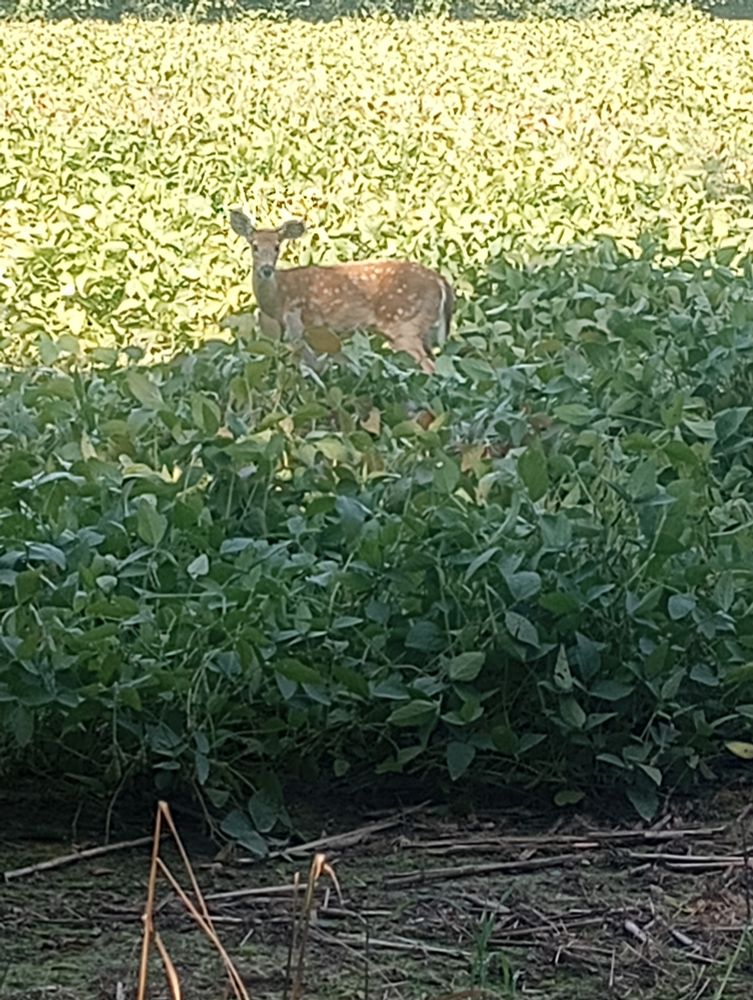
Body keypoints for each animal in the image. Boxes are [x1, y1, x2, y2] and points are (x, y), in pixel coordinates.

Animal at [229, 210, 454, 373]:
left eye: (277, 246)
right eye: (254, 246)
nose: (266, 270)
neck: (279, 298)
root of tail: (441, 281)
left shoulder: (305, 325)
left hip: (404, 325)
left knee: (431, 368)